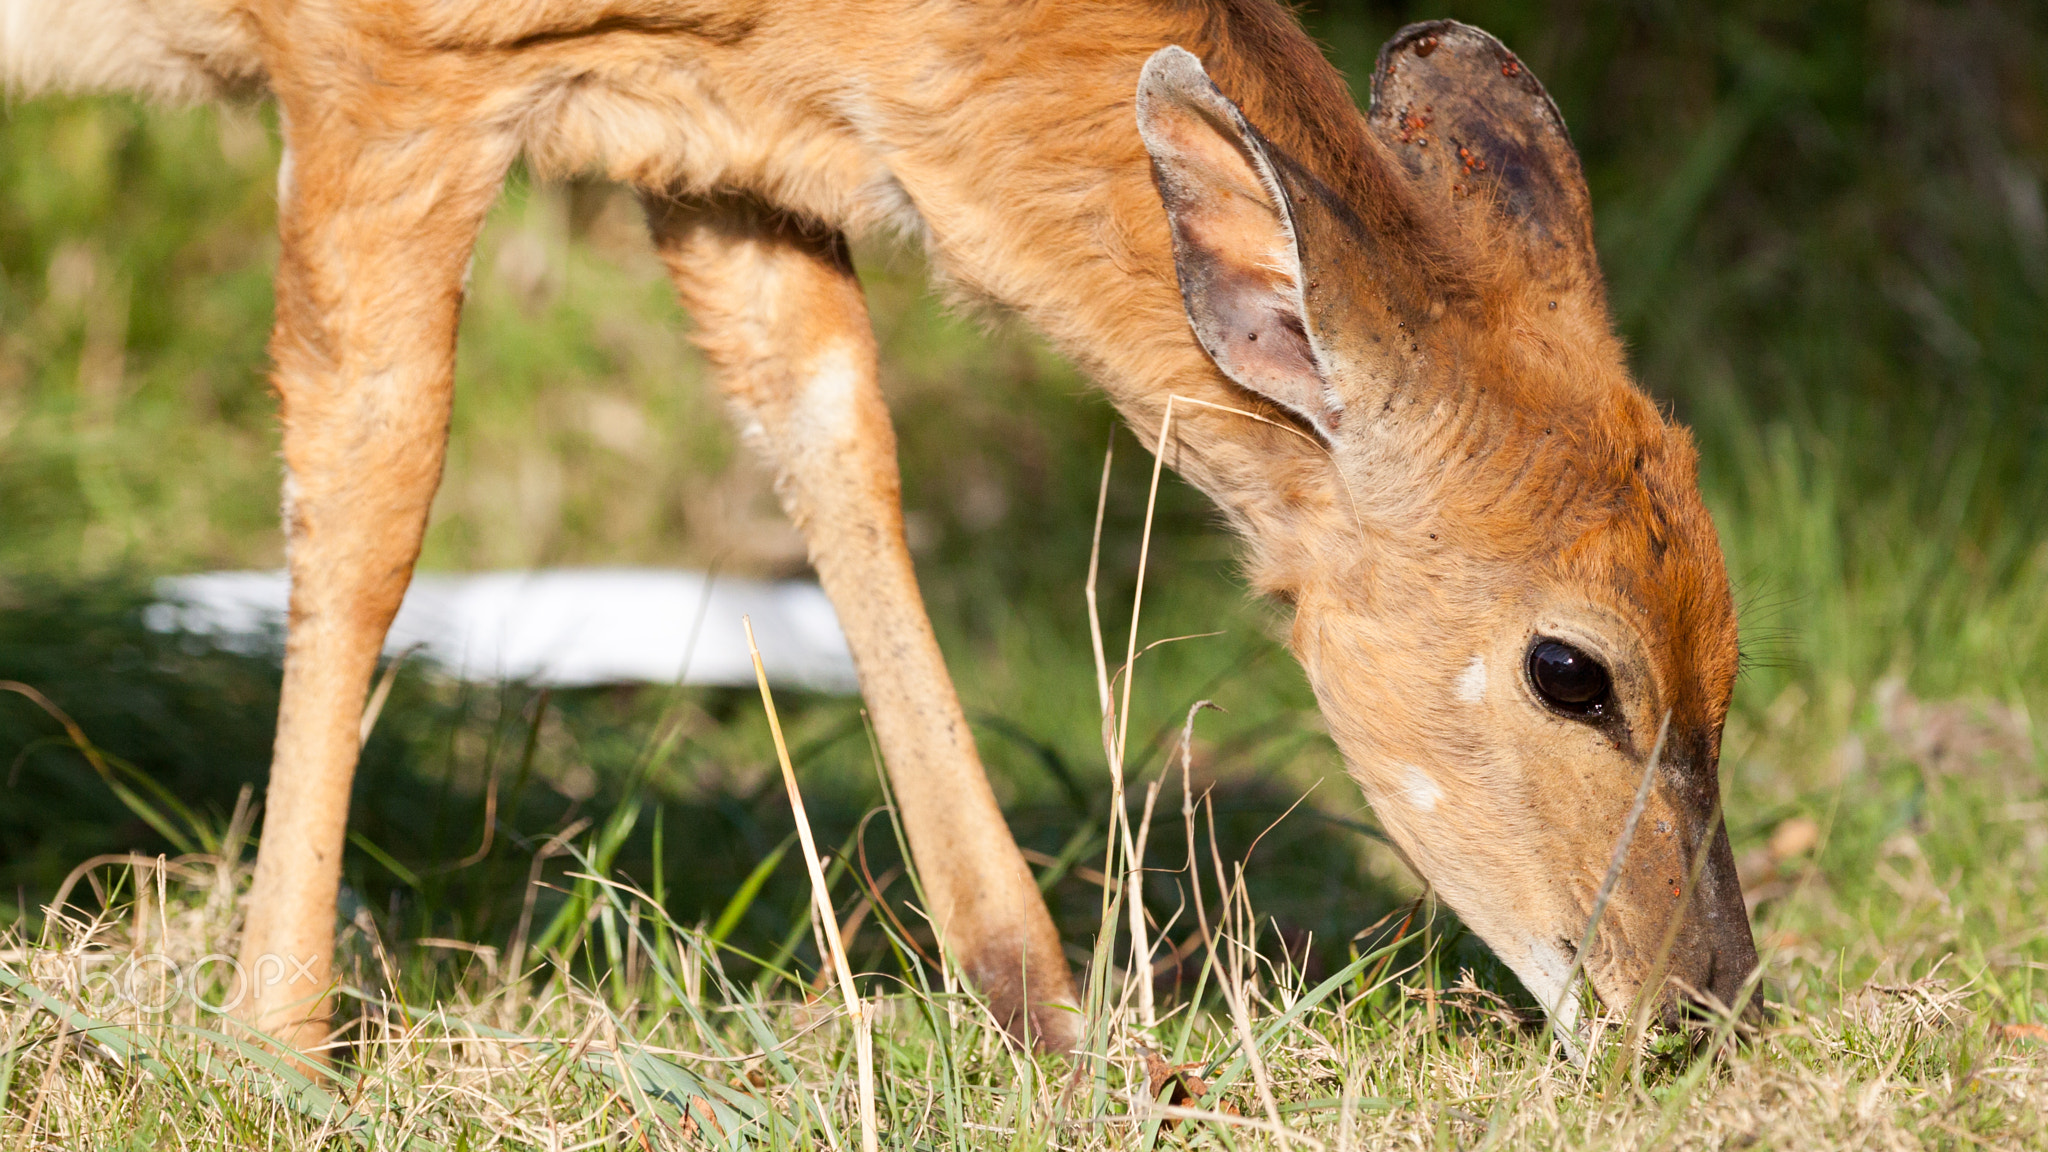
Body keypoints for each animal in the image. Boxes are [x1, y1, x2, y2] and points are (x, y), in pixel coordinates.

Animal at [4, 0, 1761, 1057]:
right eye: (1570, 668)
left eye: (1734, 650)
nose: (1709, 1011)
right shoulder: (383, 67)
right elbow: (371, 493)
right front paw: (275, 1041)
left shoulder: (704, 133)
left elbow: (834, 435)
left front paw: (1048, 1015)